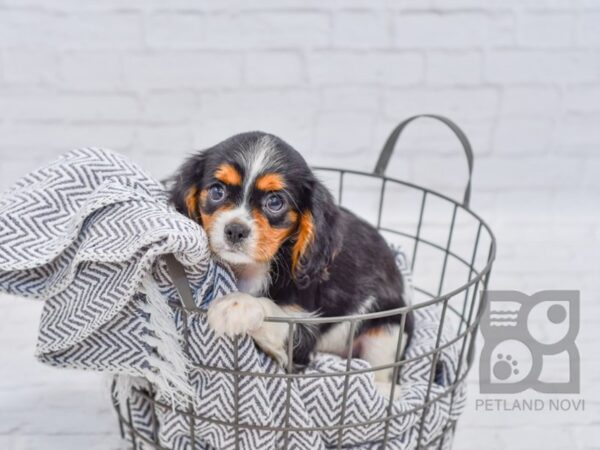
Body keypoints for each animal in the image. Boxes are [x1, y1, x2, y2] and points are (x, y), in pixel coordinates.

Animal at [169, 132, 412, 382]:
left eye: (275, 202)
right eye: (217, 191)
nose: (235, 230)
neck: (251, 268)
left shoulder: (302, 330)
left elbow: (267, 307)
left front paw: (236, 304)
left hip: (387, 328)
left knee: (383, 373)